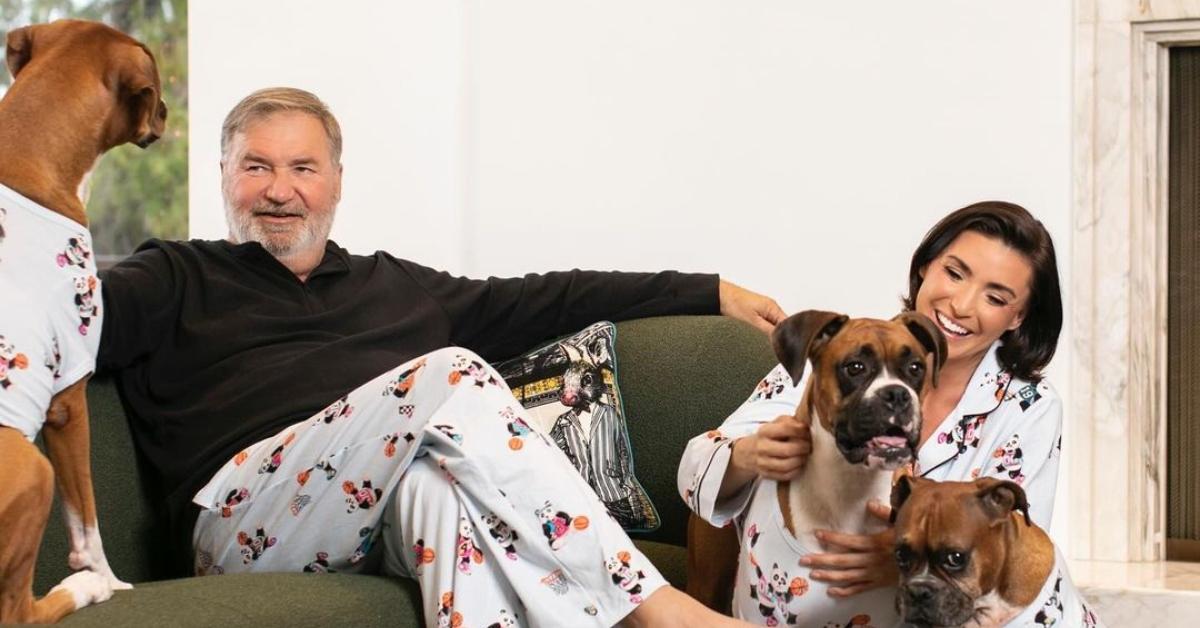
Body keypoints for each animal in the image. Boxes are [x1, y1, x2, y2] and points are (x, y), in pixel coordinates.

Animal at [0, 19, 166, 624]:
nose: (167, 111)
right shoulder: (69, 397)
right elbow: (88, 518)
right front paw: (108, 578)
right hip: (34, 468)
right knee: (16, 610)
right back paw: (83, 590)